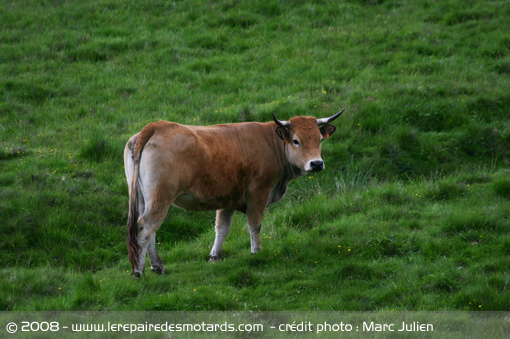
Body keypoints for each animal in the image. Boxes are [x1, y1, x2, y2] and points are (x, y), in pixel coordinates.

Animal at [124, 110, 344, 280]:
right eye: (296, 141)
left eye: (319, 139)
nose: (316, 164)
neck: (271, 143)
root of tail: (156, 126)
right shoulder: (259, 193)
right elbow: (254, 224)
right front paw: (256, 253)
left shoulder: (227, 198)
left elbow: (222, 228)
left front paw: (214, 256)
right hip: (160, 197)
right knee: (145, 229)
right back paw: (139, 271)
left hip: (144, 199)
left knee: (151, 232)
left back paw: (158, 267)